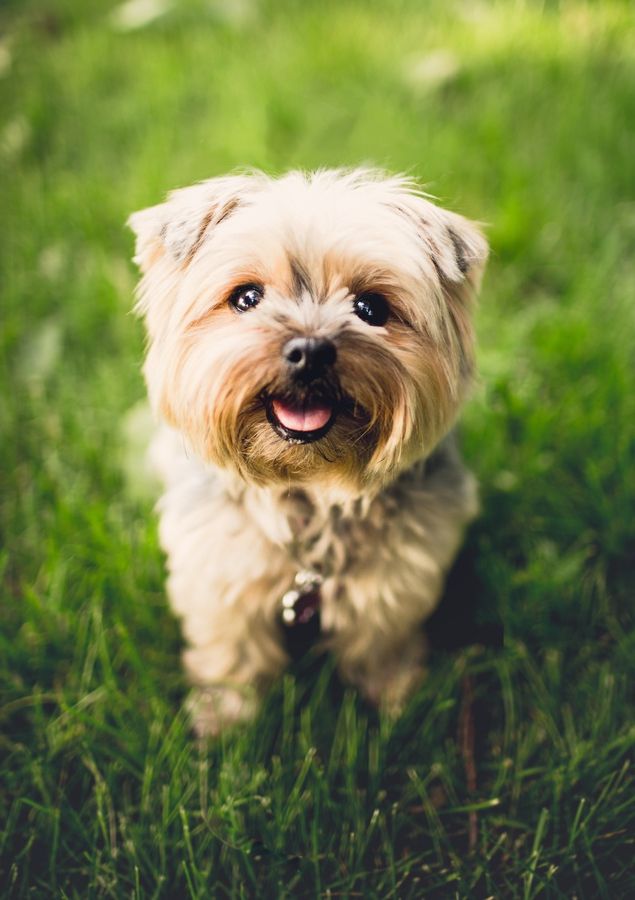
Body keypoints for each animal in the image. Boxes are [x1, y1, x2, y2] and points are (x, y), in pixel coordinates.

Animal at [128, 169, 486, 740]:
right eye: (247, 298)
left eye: (370, 308)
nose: (311, 350)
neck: (312, 488)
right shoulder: (220, 566)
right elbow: (232, 648)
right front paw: (225, 718)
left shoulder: (397, 575)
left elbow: (380, 642)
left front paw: (398, 703)